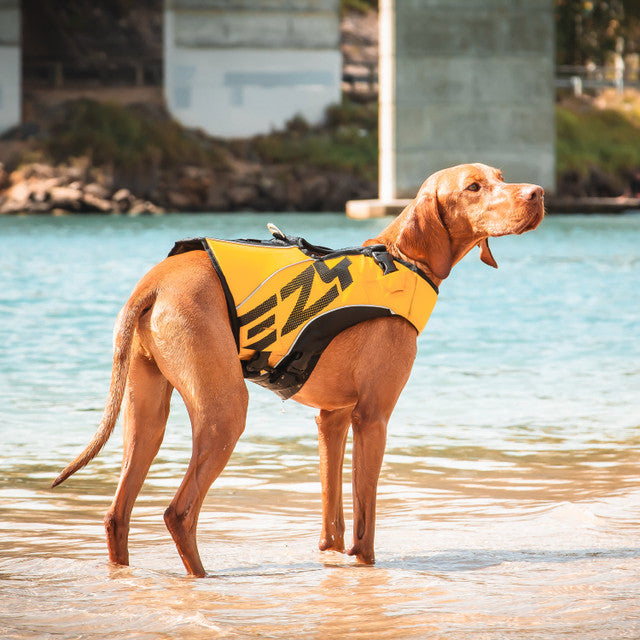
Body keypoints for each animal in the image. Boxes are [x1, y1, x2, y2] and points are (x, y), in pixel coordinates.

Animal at [52, 162, 544, 576]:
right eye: (473, 187)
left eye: (501, 177)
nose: (538, 193)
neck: (402, 259)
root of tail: (155, 280)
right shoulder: (373, 418)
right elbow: (364, 522)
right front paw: (366, 566)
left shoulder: (333, 417)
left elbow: (334, 521)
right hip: (225, 412)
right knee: (179, 512)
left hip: (147, 416)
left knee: (117, 514)